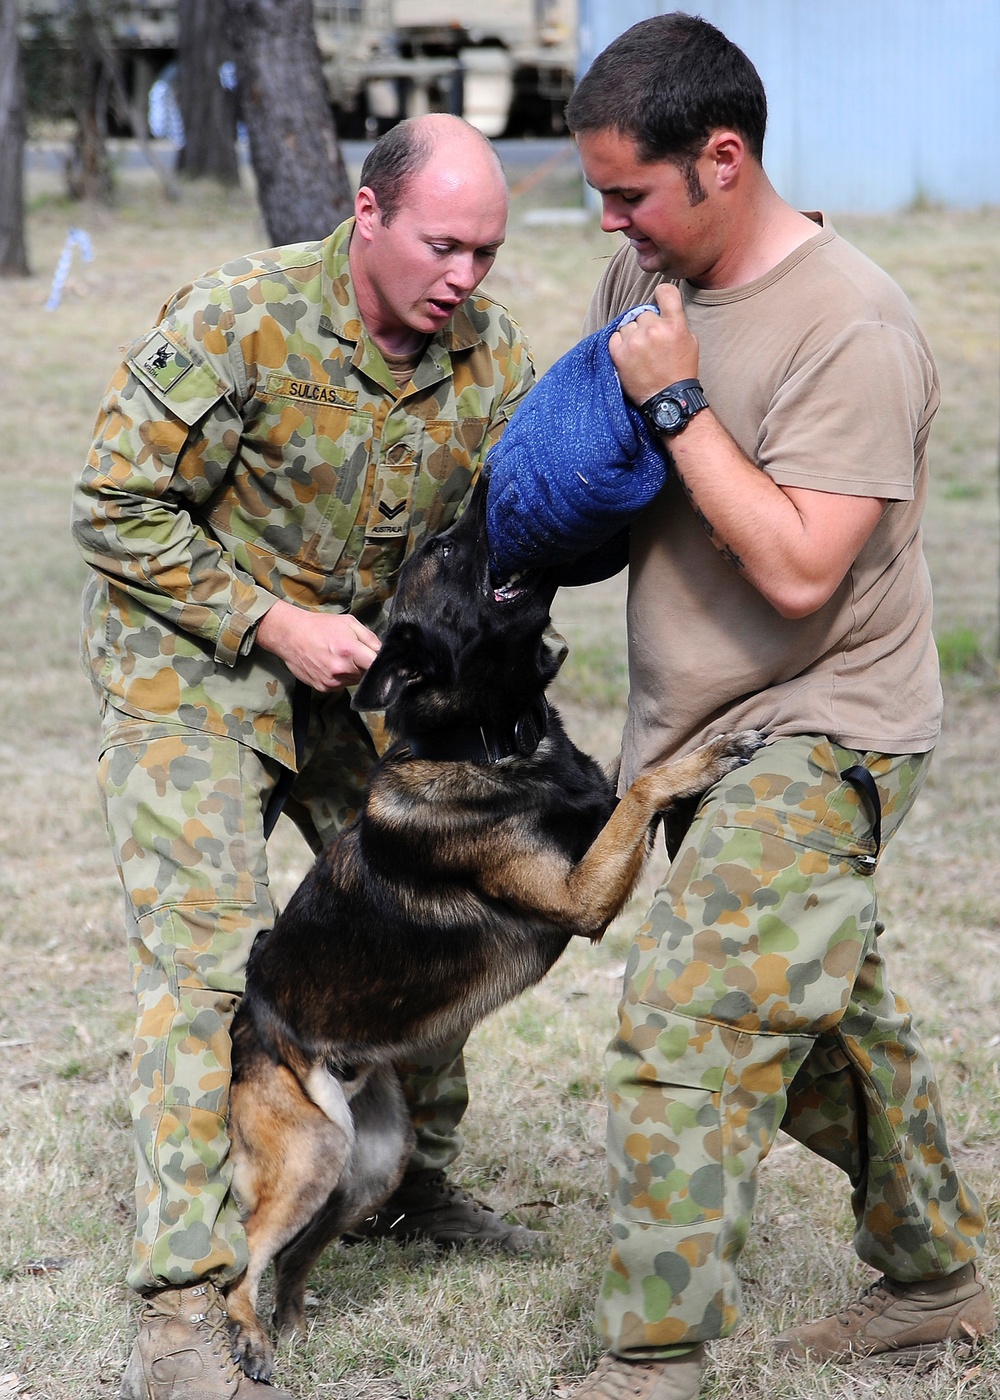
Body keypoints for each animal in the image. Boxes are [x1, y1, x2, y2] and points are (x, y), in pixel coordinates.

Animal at [219, 470, 761, 1377]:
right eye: (444, 550)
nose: (486, 482)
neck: (487, 737)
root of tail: (251, 1020)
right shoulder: (581, 897)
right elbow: (647, 788)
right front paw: (704, 754)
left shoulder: (594, 824)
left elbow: (627, 788)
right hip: (309, 1156)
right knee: (243, 1258)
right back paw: (251, 1341)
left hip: (366, 1168)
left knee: (295, 1258)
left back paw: (292, 1329)